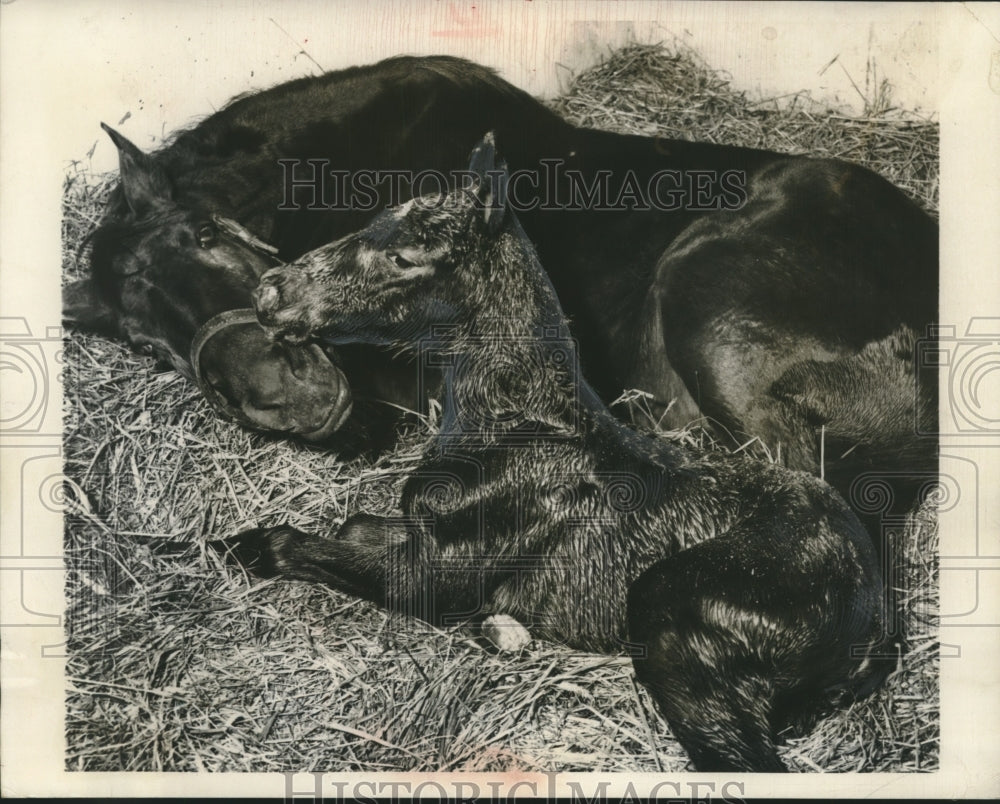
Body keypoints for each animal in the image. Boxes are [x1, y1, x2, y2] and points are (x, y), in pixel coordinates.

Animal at [215, 134, 890, 772]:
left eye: (405, 257)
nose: (270, 292)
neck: (510, 425)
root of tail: (869, 622)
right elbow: (356, 525)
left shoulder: (432, 576)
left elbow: (296, 547)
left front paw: (235, 545)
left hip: (671, 614)